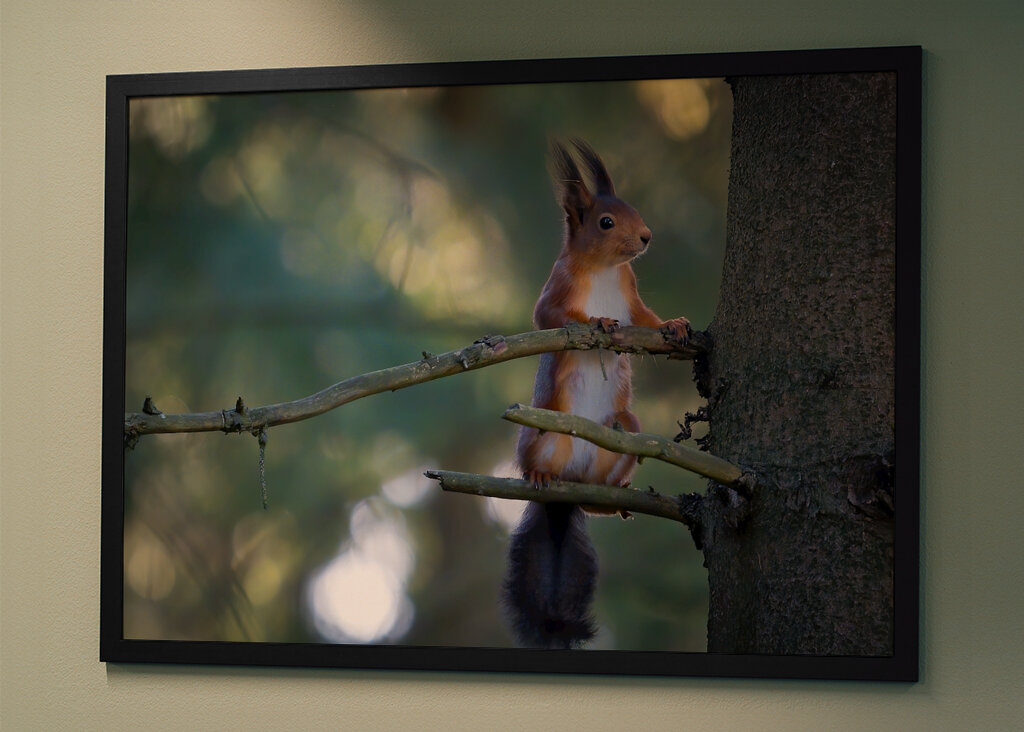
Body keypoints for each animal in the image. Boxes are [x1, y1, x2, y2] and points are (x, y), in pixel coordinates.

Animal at [502, 139, 690, 649]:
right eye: (606, 222)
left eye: (634, 210)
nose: (646, 237)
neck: (606, 271)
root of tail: (569, 491)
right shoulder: (555, 291)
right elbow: (549, 319)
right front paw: (598, 321)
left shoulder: (633, 297)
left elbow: (646, 320)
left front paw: (675, 324)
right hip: (546, 435)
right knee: (537, 461)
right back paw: (539, 476)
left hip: (621, 435)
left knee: (602, 484)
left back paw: (616, 494)